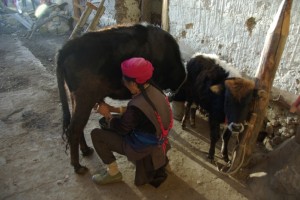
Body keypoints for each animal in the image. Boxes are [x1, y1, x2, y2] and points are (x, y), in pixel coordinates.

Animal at [56, 23, 186, 173]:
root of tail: (68, 46)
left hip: (75, 98)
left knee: (77, 126)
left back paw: (86, 150)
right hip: (84, 98)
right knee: (74, 129)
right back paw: (77, 166)